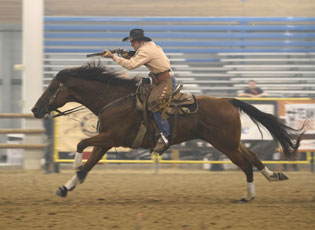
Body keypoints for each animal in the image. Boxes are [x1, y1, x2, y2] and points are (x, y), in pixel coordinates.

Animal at [31, 62, 304, 201]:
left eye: (52, 88)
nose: (35, 109)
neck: (113, 100)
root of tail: (226, 100)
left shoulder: (111, 137)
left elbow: (80, 145)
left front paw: (74, 167)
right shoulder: (106, 142)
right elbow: (89, 165)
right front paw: (66, 187)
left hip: (225, 145)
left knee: (246, 164)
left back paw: (249, 196)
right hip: (232, 142)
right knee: (254, 157)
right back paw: (274, 175)